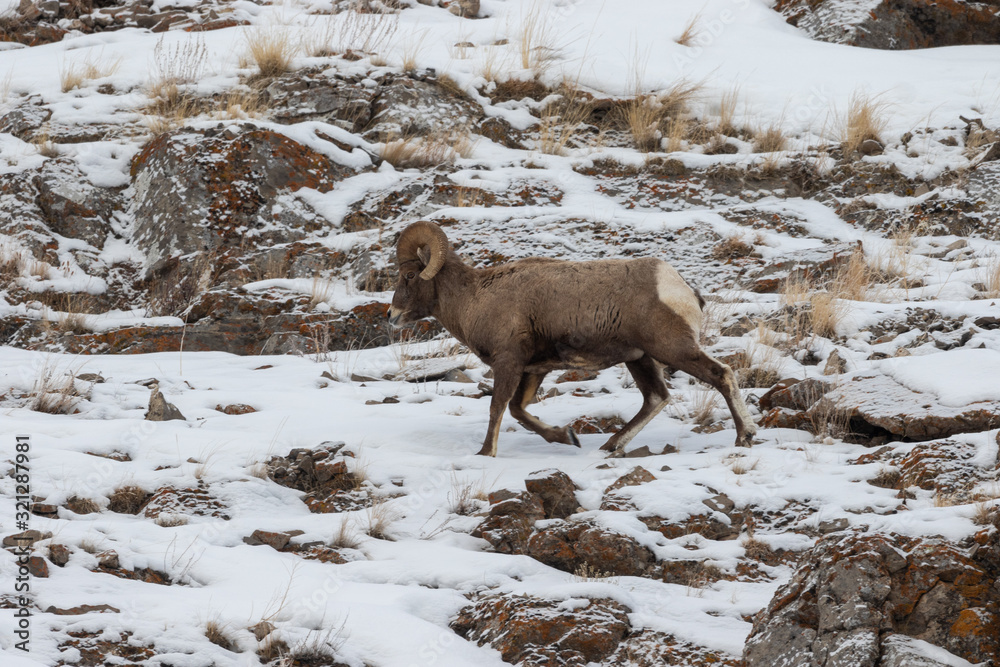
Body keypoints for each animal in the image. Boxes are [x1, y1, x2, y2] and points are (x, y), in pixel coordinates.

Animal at [387, 221, 757, 457]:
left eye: (409, 275)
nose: (391, 316)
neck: (475, 298)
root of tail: (679, 287)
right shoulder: (533, 369)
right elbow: (519, 411)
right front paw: (566, 437)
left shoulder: (509, 363)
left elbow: (498, 408)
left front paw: (485, 453)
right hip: (640, 359)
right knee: (656, 398)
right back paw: (611, 446)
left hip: (673, 350)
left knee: (721, 375)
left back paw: (745, 437)